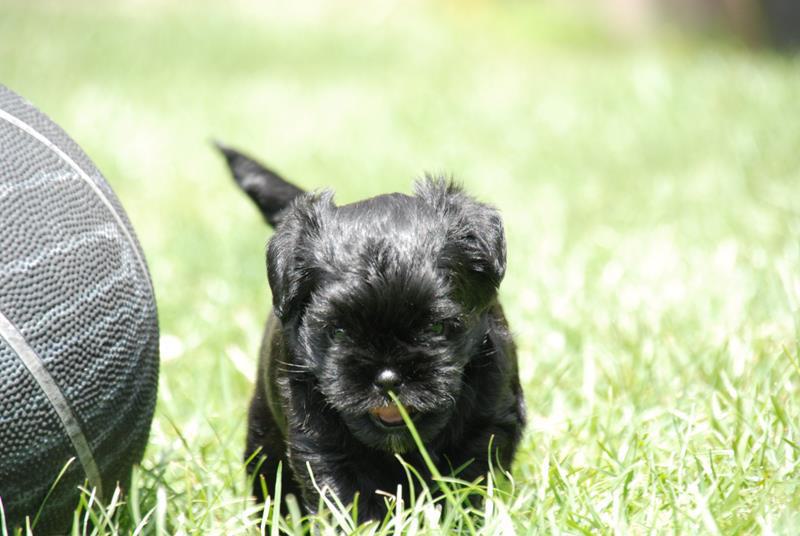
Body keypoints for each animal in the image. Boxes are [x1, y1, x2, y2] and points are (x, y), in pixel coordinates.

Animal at [217, 143, 526, 521]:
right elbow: (342, 494)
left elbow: (467, 483)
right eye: (337, 331)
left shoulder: (489, 424)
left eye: (437, 326)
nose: (388, 378)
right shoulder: (318, 439)